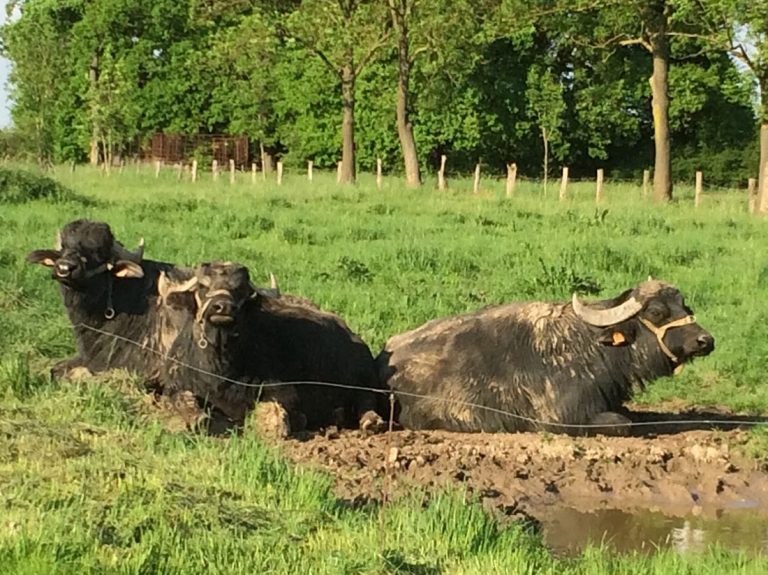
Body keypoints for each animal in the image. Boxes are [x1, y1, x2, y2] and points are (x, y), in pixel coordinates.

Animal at [157, 261, 386, 436]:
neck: (219, 369)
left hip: (365, 381)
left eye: (240, 289)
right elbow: (188, 406)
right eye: (203, 287)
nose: (223, 307)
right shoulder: (173, 386)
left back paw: (371, 421)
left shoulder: (284, 392)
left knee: (367, 402)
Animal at [377, 279, 715, 435]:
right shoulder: (565, 420)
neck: (593, 347)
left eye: (685, 307)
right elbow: (623, 423)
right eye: (656, 312)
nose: (706, 340)